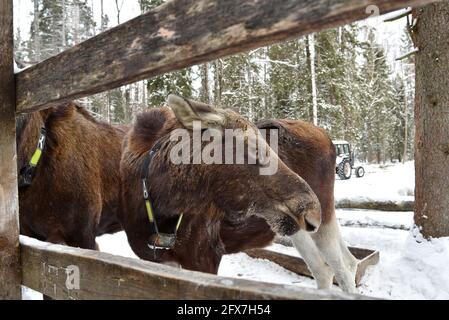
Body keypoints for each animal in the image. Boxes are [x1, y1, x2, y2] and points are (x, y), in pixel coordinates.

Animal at [118, 94, 356, 292]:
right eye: (253, 148)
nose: (312, 210)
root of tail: (329, 139)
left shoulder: (206, 257)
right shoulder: (158, 261)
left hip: (324, 219)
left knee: (344, 268)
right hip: (300, 230)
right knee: (325, 269)